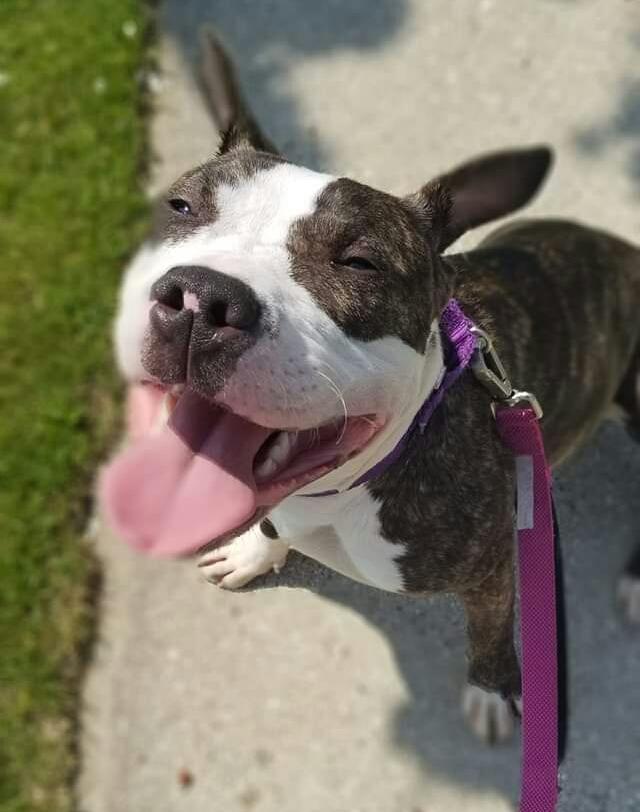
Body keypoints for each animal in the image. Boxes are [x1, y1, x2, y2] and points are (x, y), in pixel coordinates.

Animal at [102, 30, 640, 744]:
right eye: (179, 206)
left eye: (359, 262)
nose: (200, 299)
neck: (343, 491)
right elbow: (267, 524)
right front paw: (252, 550)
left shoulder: (493, 569)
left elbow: (492, 630)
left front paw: (493, 690)